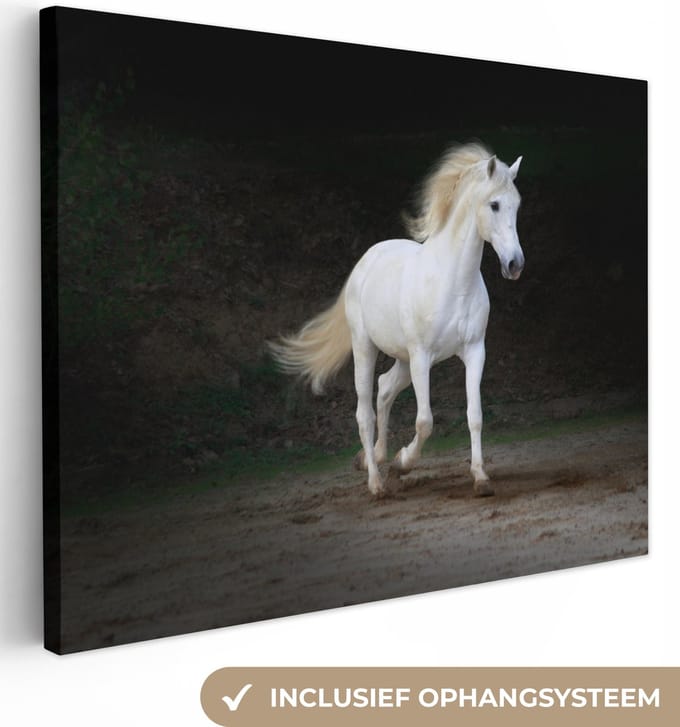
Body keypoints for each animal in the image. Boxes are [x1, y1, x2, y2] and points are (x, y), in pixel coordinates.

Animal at [269, 142, 524, 496]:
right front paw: (403, 463)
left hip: (403, 360)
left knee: (385, 388)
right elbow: (425, 421)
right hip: (367, 349)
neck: (452, 281)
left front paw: (481, 478)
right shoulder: (421, 357)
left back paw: (373, 457)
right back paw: (377, 482)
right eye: (495, 204)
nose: (515, 264)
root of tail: (367, 260)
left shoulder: (474, 351)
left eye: (517, 205)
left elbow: (475, 415)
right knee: (364, 411)